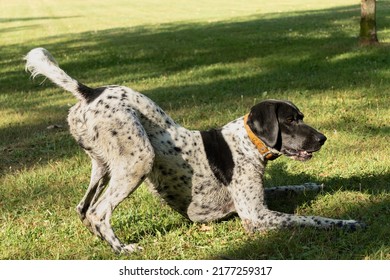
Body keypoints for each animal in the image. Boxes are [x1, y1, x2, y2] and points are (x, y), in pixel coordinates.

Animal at [25, 48, 366, 254]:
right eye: (291, 120)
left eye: (302, 117)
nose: (322, 138)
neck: (246, 143)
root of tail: (89, 91)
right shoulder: (255, 215)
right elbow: (313, 219)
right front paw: (348, 223)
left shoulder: (256, 200)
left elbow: (291, 187)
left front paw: (314, 184)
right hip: (139, 161)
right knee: (98, 212)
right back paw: (123, 250)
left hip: (104, 165)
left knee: (83, 209)